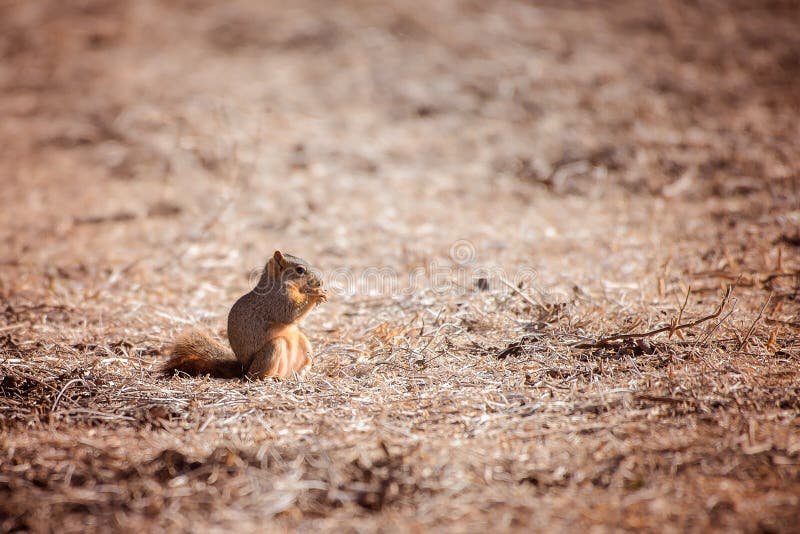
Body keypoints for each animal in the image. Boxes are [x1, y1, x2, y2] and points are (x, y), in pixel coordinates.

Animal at [161, 250, 327, 380]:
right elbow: (289, 314)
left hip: (304, 344)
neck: (277, 283)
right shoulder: (276, 301)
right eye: (300, 270)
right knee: (255, 375)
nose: (320, 282)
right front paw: (315, 294)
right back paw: (268, 378)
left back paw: (301, 374)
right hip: (272, 350)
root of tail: (243, 368)